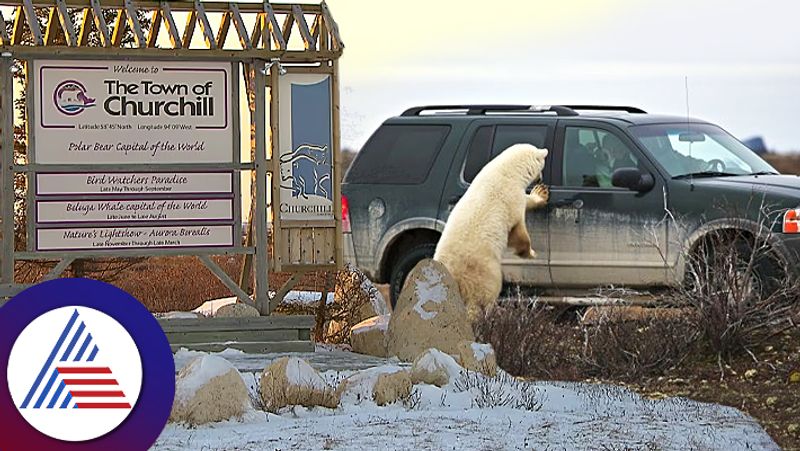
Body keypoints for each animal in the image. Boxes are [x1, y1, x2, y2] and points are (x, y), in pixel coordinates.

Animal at [432, 143, 552, 324]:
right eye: (542, 164)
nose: (540, 179)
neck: (507, 170)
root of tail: (455, 278)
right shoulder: (510, 199)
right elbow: (518, 230)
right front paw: (530, 253)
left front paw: (540, 192)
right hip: (483, 270)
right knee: (484, 294)